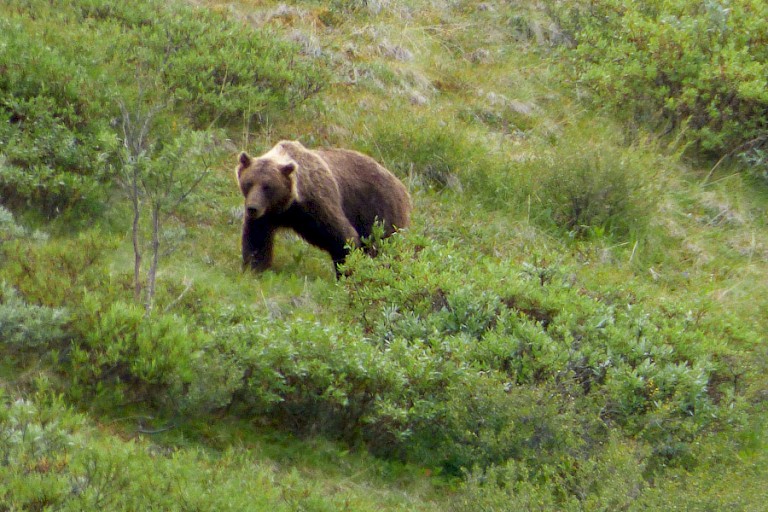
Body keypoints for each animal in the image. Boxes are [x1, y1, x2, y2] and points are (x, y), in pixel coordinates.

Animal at [236, 140, 411, 276]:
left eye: (268, 186)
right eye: (249, 183)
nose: (252, 208)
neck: (288, 205)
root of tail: (402, 186)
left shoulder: (318, 203)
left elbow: (343, 237)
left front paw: (347, 271)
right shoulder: (267, 216)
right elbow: (256, 241)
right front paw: (254, 269)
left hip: (379, 211)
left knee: (384, 246)